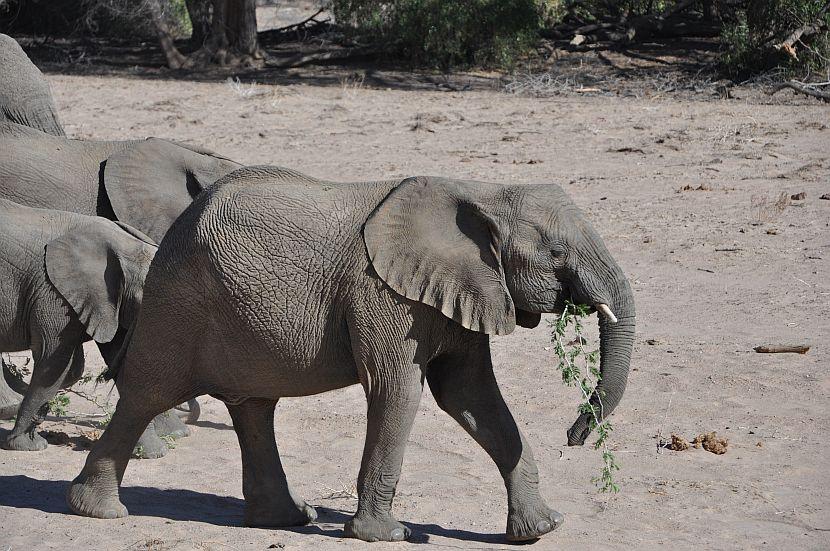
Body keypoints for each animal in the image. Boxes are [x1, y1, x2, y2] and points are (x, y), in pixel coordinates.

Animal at [0, 199, 188, 458]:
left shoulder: (109, 300)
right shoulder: (53, 292)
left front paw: (150, 452)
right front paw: (28, 446)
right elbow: (54, 363)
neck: (124, 246)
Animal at [68, 167, 636, 544]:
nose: (575, 434)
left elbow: (471, 398)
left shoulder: (461, 291)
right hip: (178, 302)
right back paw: (98, 512)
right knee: (147, 394)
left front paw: (542, 529)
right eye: (557, 253)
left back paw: (286, 520)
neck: (482, 193)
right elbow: (399, 392)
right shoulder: (382, 294)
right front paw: (384, 535)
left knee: (254, 407)